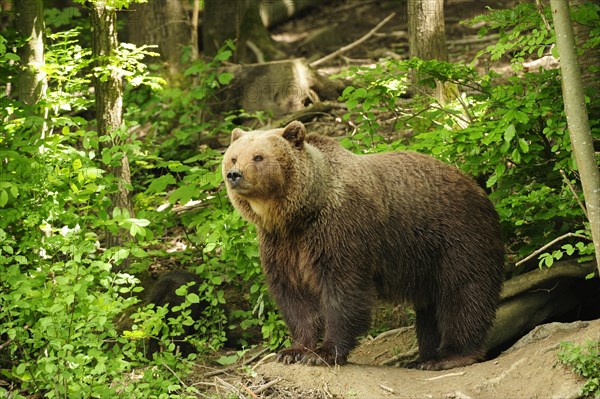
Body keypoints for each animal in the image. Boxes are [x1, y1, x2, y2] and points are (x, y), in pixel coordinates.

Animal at [223, 120, 504, 370]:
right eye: (234, 157)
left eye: (258, 157)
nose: (234, 175)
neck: (298, 214)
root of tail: (477, 186)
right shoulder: (281, 245)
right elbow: (294, 295)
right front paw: (294, 351)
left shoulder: (339, 229)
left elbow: (343, 290)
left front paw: (324, 353)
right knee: (430, 307)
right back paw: (424, 356)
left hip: (455, 236)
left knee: (463, 292)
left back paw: (449, 356)